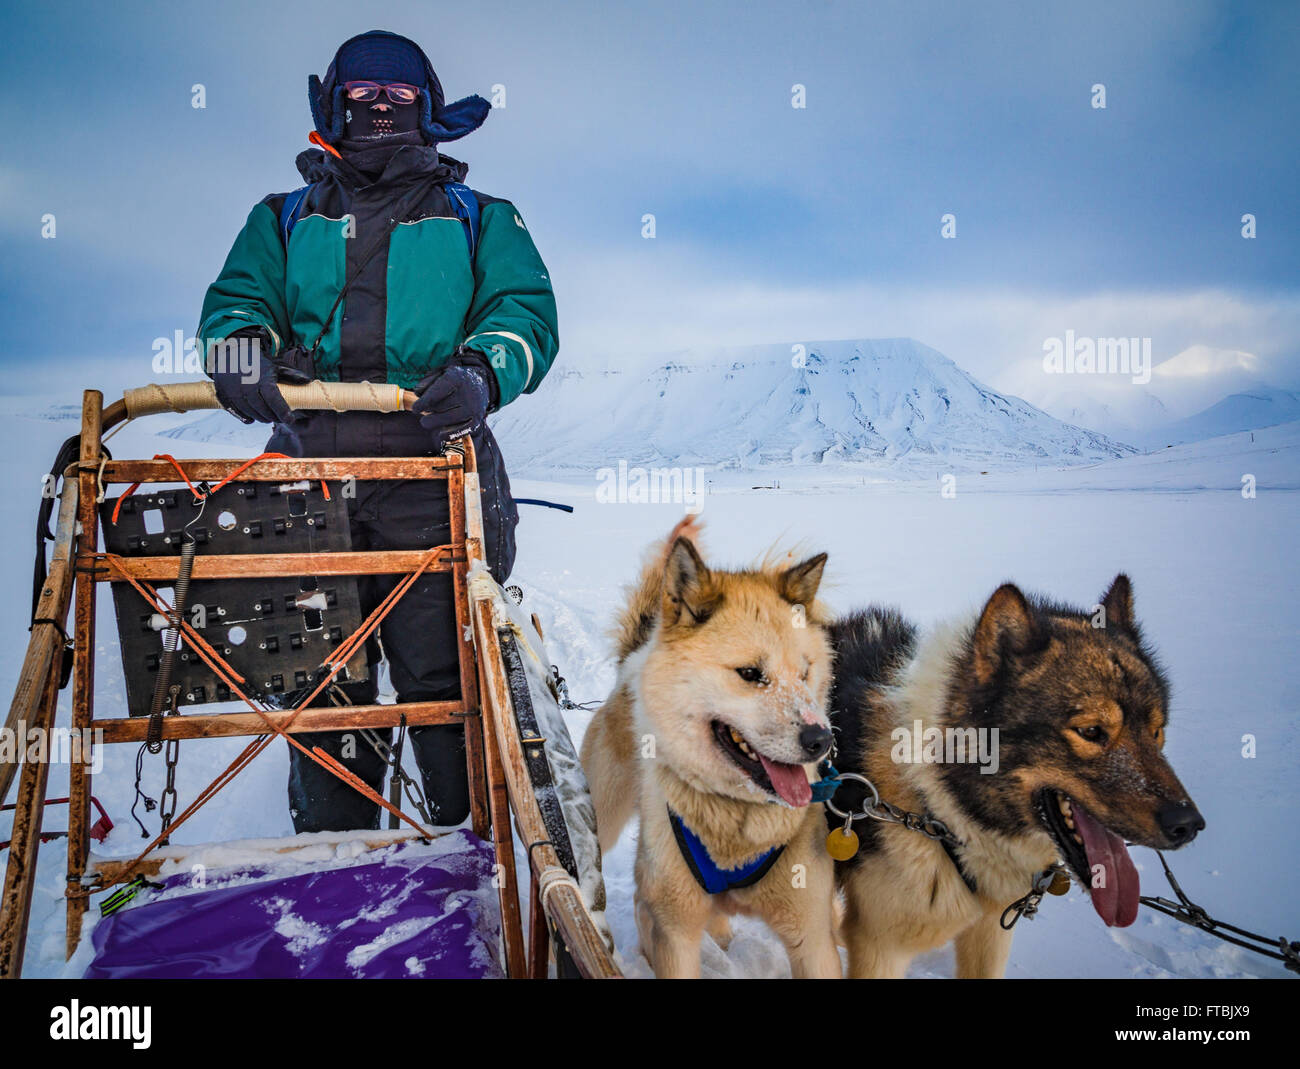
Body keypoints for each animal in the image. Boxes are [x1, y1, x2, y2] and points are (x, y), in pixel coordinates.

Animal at [582, 520, 842, 977]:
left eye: (805, 672)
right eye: (750, 673)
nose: (820, 740)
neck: (737, 820)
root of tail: (637, 655)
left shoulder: (813, 940)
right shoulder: (676, 934)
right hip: (607, 815)